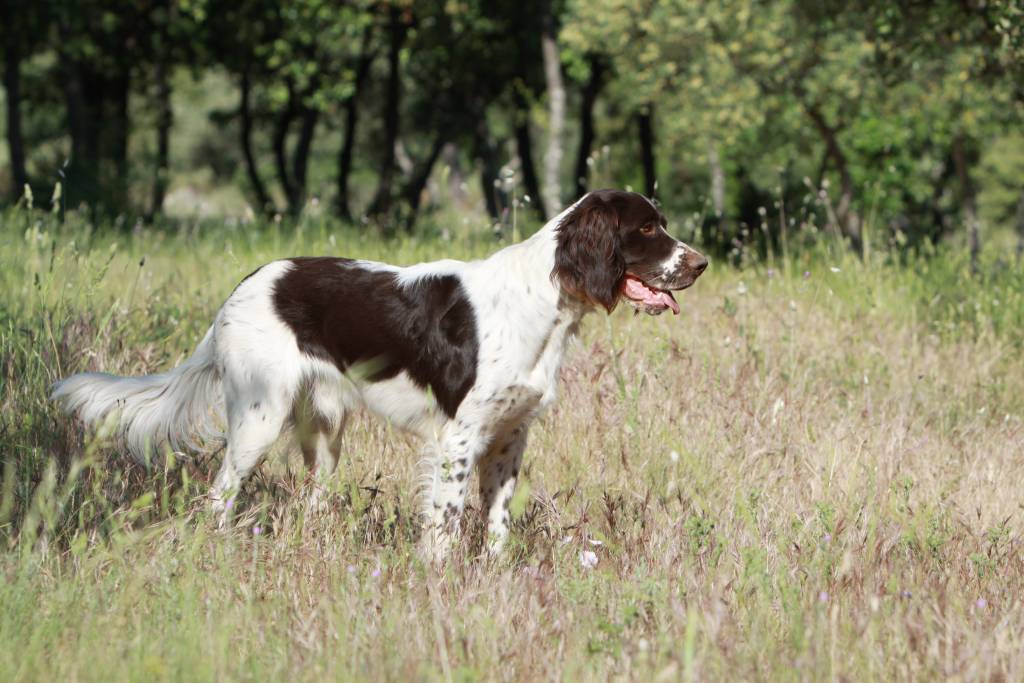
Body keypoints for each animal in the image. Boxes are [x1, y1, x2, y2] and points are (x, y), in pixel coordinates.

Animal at [52, 189, 708, 559]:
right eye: (646, 228)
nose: (700, 264)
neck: (541, 301)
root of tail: (242, 287)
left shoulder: (509, 438)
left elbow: (496, 524)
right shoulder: (458, 438)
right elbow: (445, 524)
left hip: (323, 430)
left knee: (312, 498)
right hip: (259, 416)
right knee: (220, 495)